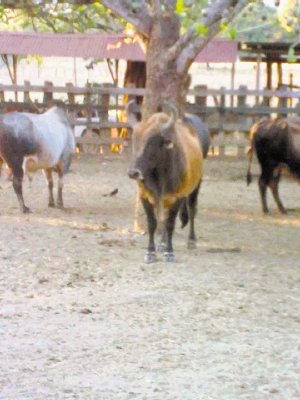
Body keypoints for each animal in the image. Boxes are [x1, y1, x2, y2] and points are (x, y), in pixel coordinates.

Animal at [126, 101, 204, 262]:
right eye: (134, 140)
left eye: (151, 142)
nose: (133, 172)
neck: (159, 177)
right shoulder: (145, 196)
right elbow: (153, 223)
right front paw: (151, 252)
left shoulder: (178, 197)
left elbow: (170, 223)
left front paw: (169, 252)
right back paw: (162, 244)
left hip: (196, 186)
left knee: (192, 210)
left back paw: (191, 240)